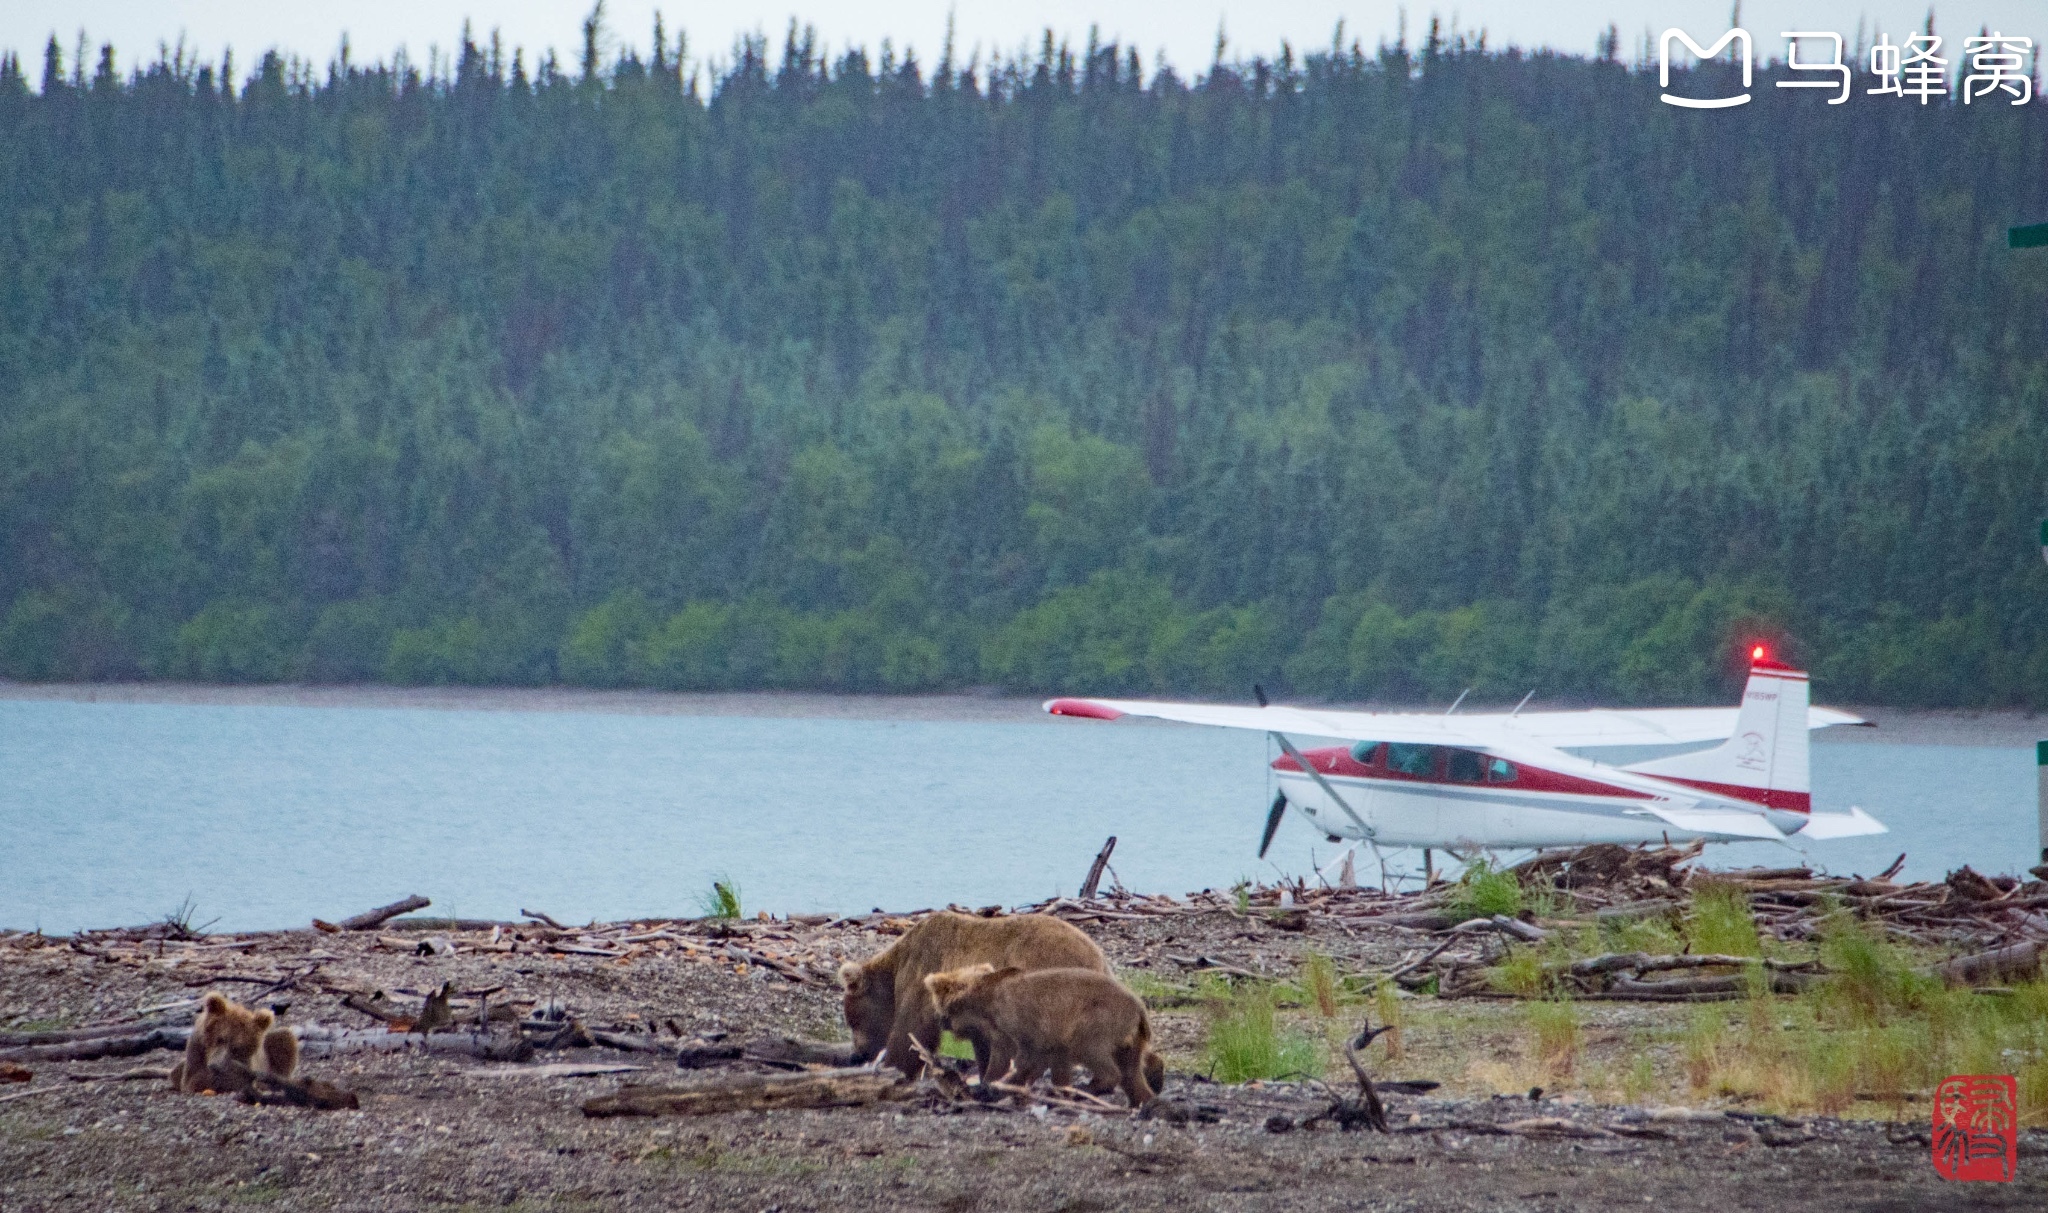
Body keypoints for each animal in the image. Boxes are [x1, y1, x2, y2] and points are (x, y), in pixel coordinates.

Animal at [168, 991, 299, 1098]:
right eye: (220, 1038)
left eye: (237, 1048)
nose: (216, 1066)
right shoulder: (197, 1049)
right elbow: (193, 1079)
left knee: (285, 1037)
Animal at [843, 909, 1114, 1081]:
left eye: (853, 1020)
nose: (858, 1053)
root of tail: (1098, 957)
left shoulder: (923, 971)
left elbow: (912, 1028)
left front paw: (894, 1066)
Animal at [925, 967, 1163, 1106]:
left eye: (938, 1005)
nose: (939, 1021)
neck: (985, 1005)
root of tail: (1139, 1007)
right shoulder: (1003, 1031)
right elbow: (1008, 1059)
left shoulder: (1020, 1019)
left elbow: (1026, 1056)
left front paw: (998, 1085)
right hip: (1131, 1037)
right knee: (1131, 1070)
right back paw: (1143, 1100)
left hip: (1099, 1018)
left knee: (1090, 1049)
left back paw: (1088, 1087)